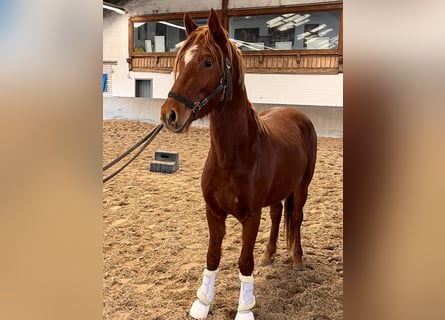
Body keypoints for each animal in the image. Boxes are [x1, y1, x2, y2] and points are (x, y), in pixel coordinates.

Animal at [160, 10, 316, 320]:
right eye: (180, 61)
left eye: (208, 62)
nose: (169, 114)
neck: (232, 158)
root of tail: (297, 115)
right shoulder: (213, 212)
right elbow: (212, 257)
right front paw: (202, 302)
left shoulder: (251, 216)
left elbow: (244, 261)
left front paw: (244, 308)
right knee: (277, 215)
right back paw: (268, 255)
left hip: (303, 186)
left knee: (296, 218)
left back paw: (297, 260)